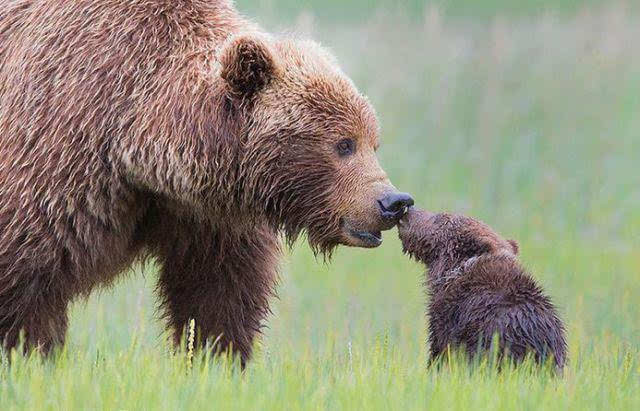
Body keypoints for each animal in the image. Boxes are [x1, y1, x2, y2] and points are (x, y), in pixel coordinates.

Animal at [0, 1, 410, 366]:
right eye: (344, 144)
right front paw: (28, 354)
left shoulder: (207, 215)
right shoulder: (59, 154)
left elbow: (218, 291)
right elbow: (26, 279)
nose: (393, 202)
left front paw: (216, 359)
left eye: (373, 142)